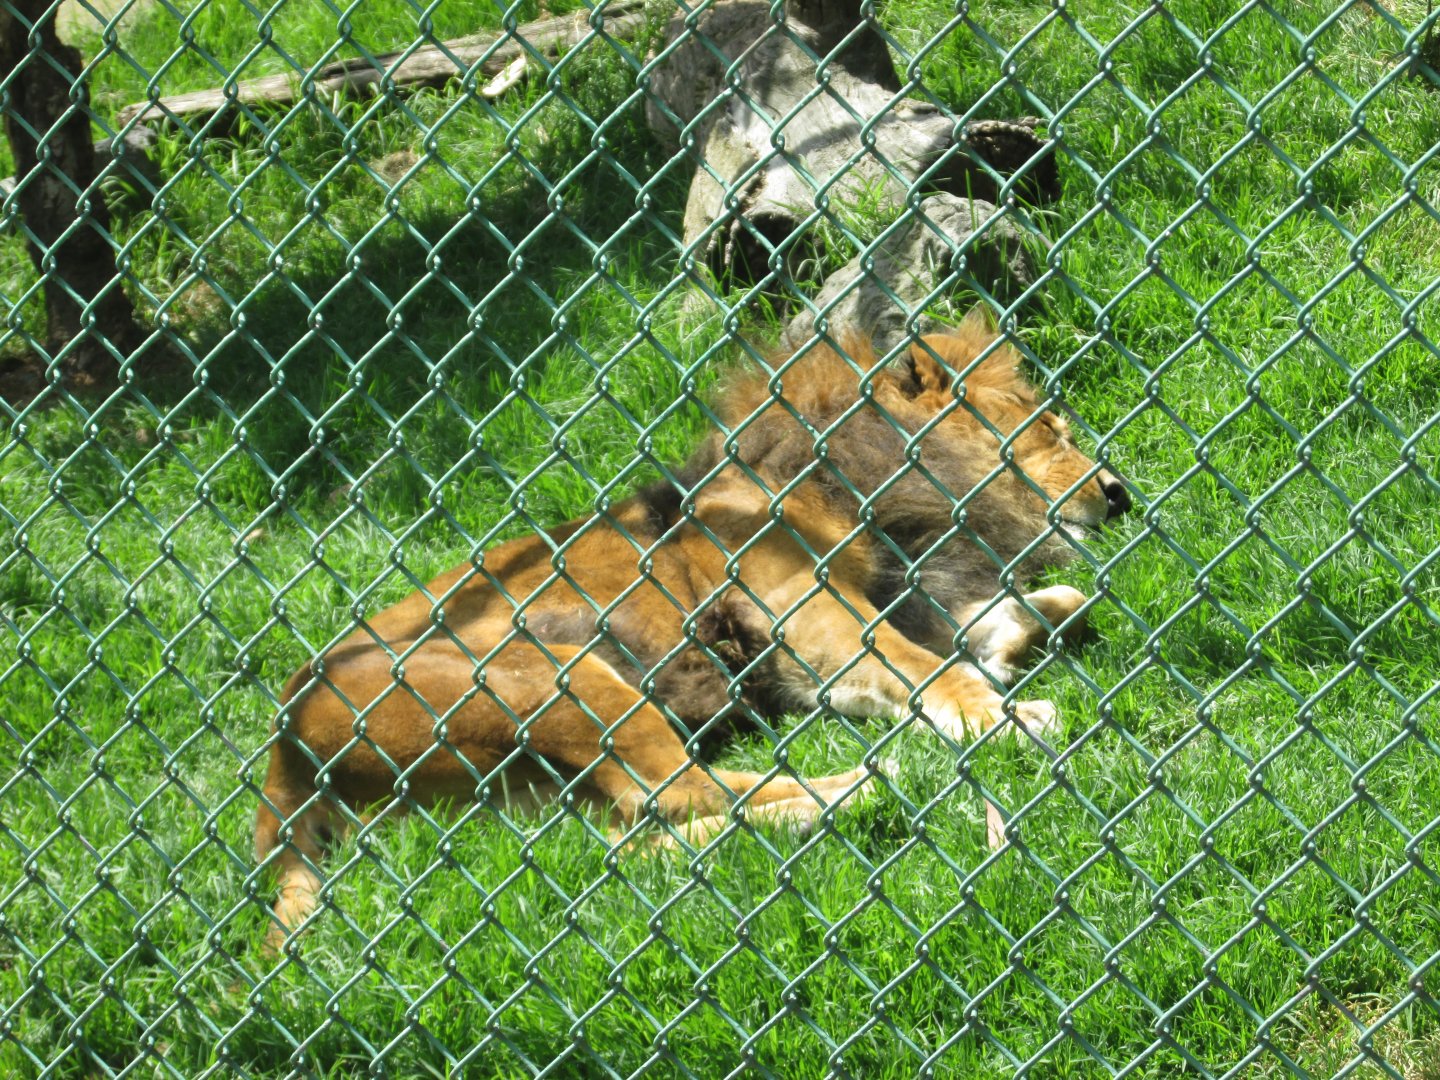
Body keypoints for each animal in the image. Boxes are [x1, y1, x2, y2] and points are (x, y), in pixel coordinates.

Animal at [255, 311, 1130, 944]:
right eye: (1051, 427)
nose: (1118, 491)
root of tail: (280, 756)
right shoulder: (809, 614)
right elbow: (923, 666)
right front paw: (1006, 714)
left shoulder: (885, 609)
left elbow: (1045, 607)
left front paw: (1018, 639)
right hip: (560, 680)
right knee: (676, 791)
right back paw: (859, 788)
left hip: (529, 784)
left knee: (621, 843)